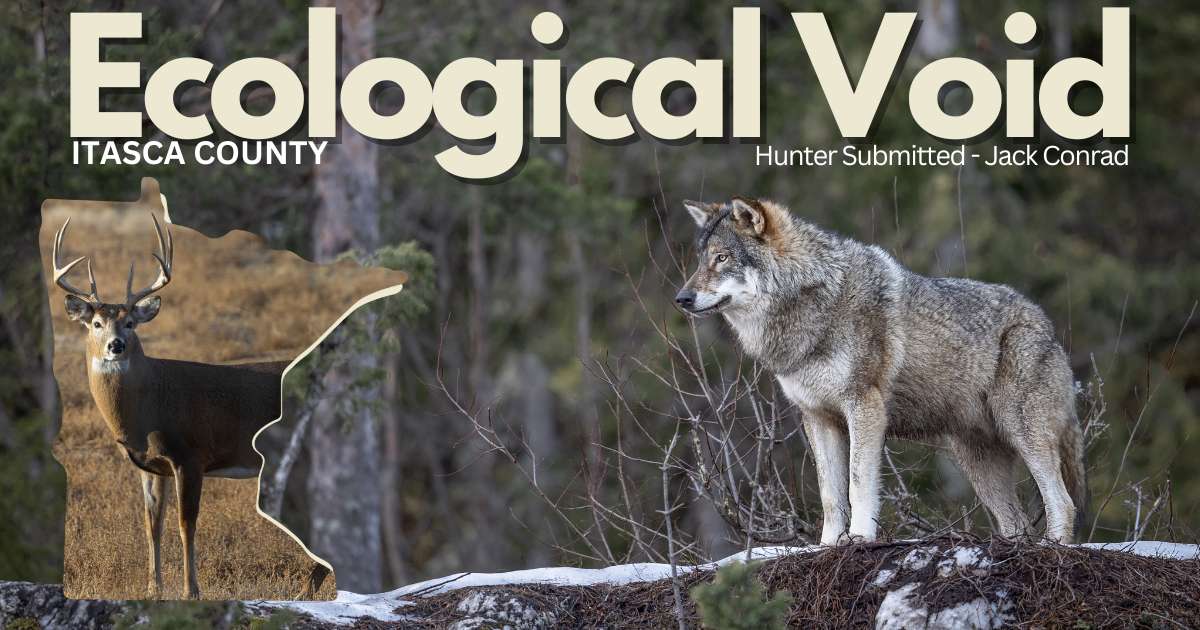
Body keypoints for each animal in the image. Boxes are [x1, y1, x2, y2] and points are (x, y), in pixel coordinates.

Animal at [675, 197, 1086, 544]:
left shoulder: (864, 406)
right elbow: (830, 495)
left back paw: (1053, 549)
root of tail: (1045, 324)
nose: (681, 298)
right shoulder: (818, 417)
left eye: (722, 258)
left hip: (1022, 432)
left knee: (1063, 503)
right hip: (978, 462)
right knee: (1018, 523)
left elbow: (858, 484)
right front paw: (828, 546)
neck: (812, 301)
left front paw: (859, 538)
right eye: (701, 261)